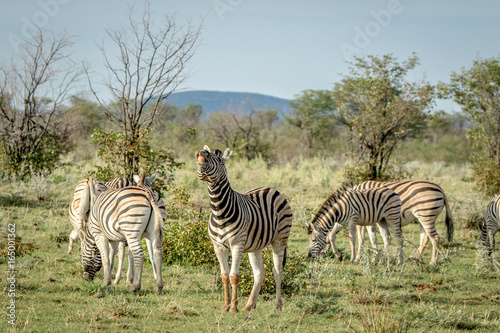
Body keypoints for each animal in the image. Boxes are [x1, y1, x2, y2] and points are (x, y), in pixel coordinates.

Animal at [196, 145, 292, 312]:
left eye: (220, 160)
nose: (201, 153)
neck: (219, 211)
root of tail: (271, 189)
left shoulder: (237, 245)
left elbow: (234, 276)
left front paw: (234, 308)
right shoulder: (218, 246)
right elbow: (224, 275)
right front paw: (226, 306)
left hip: (280, 238)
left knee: (277, 271)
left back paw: (278, 305)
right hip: (256, 245)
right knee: (260, 272)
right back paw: (249, 305)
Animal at [322, 179, 456, 264]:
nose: (321, 257)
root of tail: (440, 189)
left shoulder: (363, 218)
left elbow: (363, 238)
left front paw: (359, 258)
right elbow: (372, 239)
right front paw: (375, 258)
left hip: (426, 215)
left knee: (435, 238)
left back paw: (433, 262)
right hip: (422, 217)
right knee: (425, 238)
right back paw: (415, 258)